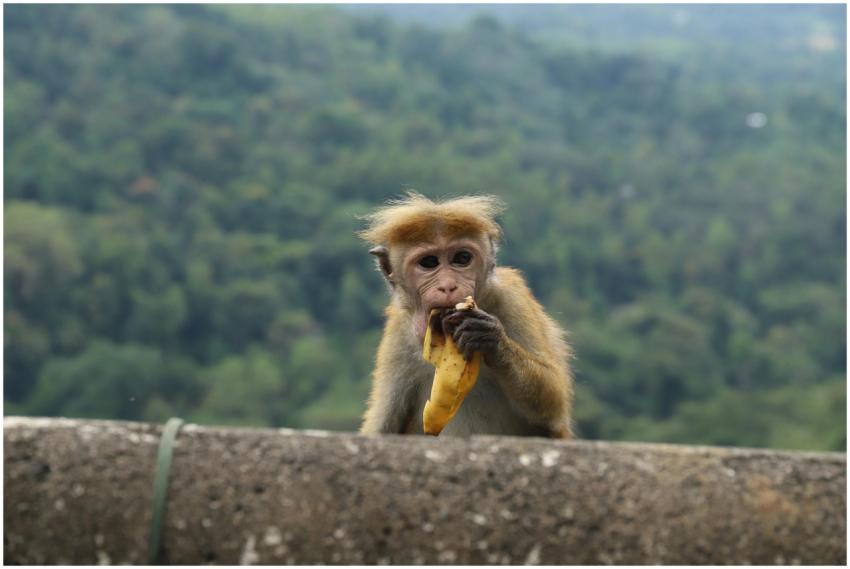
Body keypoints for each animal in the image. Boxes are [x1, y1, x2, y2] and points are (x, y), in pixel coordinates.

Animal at [358, 193, 573, 438]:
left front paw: (490, 338)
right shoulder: (399, 331)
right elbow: (382, 424)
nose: (448, 286)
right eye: (429, 262)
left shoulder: (512, 298)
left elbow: (554, 402)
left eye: (462, 258)